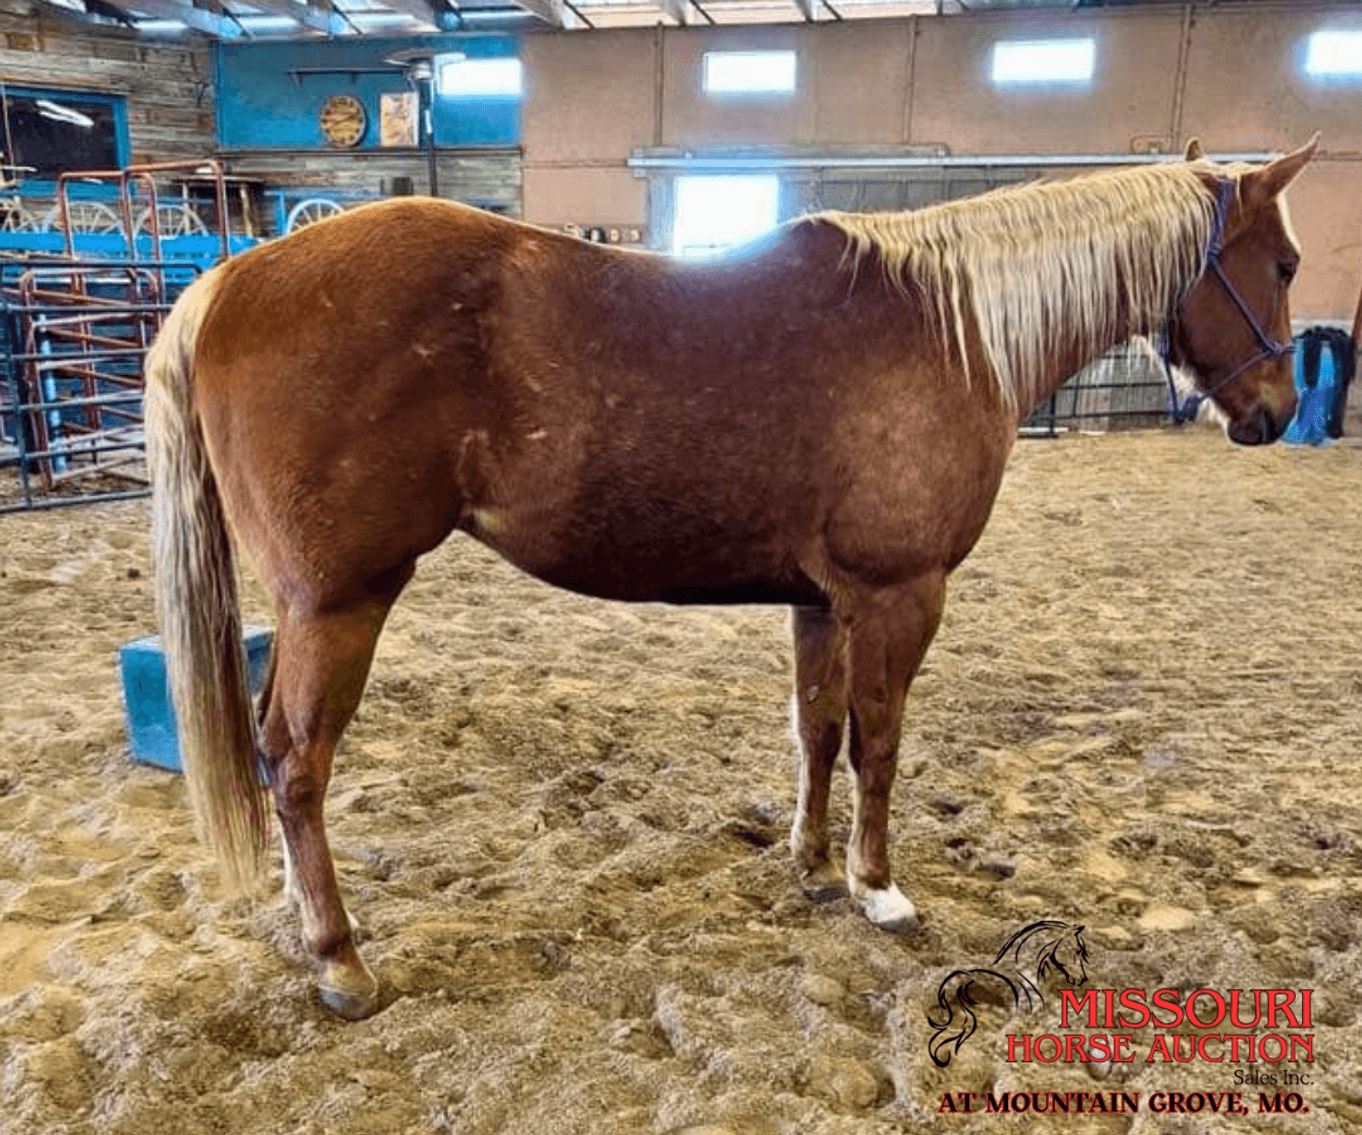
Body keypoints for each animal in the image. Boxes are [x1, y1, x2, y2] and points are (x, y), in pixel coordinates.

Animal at [143, 136, 1316, 1020]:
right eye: (1285, 264)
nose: (1278, 412)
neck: (949, 327)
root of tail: (230, 280)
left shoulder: (822, 600)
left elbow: (820, 731)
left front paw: (812, 865)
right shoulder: (901, 594)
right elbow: (881, 744)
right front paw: (878, 888)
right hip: (337, 601)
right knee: (295, 761)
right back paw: (340, 959)